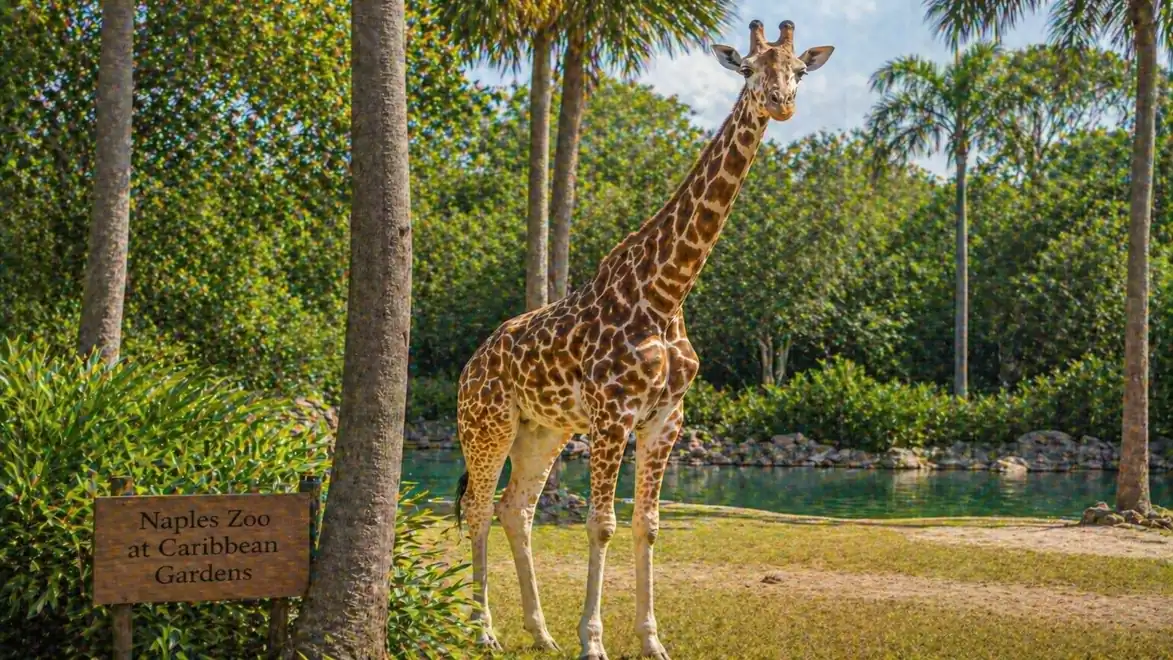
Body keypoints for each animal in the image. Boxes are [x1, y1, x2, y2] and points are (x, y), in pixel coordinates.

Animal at [453, 19, 834, 660]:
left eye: (800, 70)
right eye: (749, 67)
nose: (781, 102)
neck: (667, 293)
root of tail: (470, 365)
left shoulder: (665, 418)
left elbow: (647, 524)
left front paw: (651, 639)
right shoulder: (613, 415)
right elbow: (601, 523)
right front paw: (593, 641)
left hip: (543, 430)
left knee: (516, 509)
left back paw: (540, 631)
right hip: (488, 424)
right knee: (480, 508)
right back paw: (485, 631)